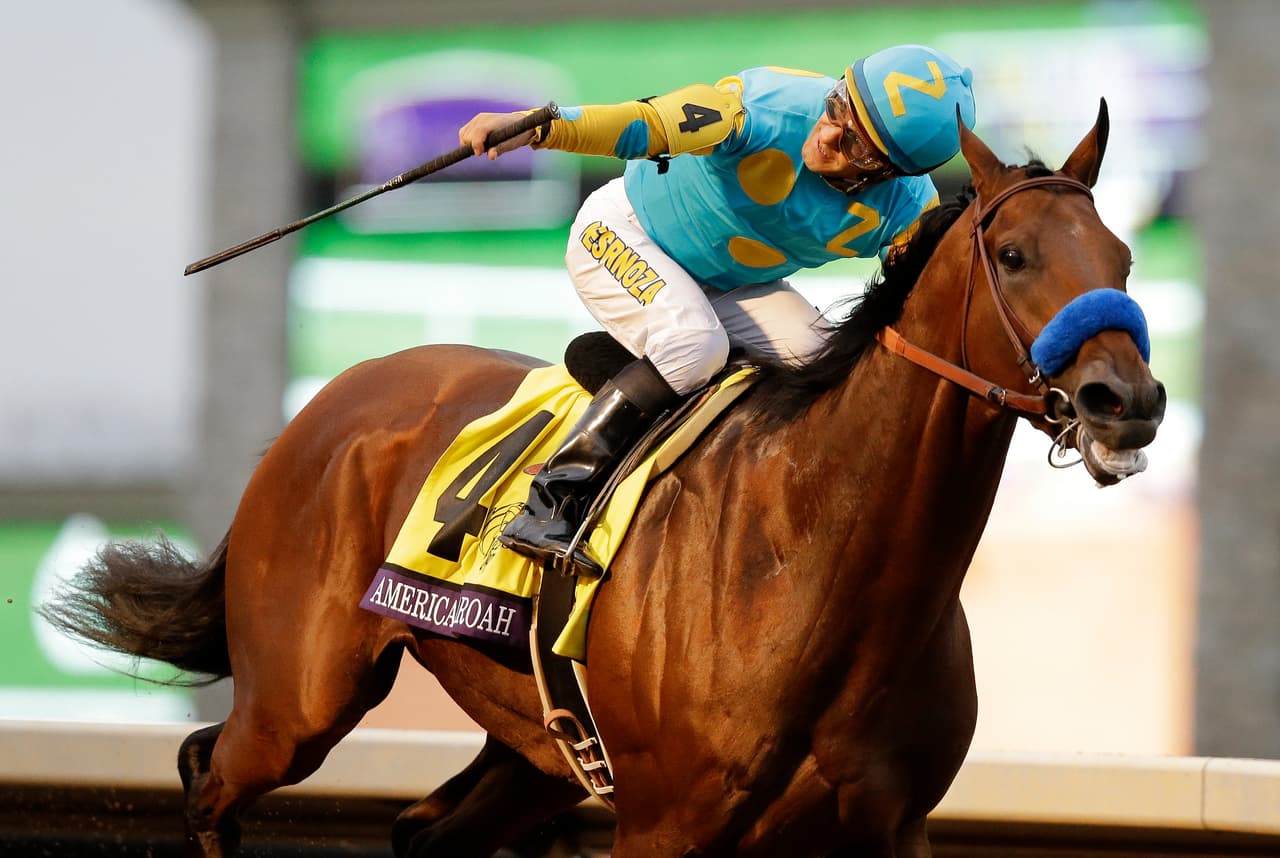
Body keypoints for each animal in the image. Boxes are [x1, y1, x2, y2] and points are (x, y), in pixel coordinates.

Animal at [41, 104, 1164, 857]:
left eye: (1121, 252)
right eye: (1013, 254)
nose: (1128, 400)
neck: (808, 555)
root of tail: (329, 402)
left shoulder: (887, 826)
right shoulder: (666, 824)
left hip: (532, 739)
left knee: (424, 832)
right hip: (299, 700)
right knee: (208, 775)